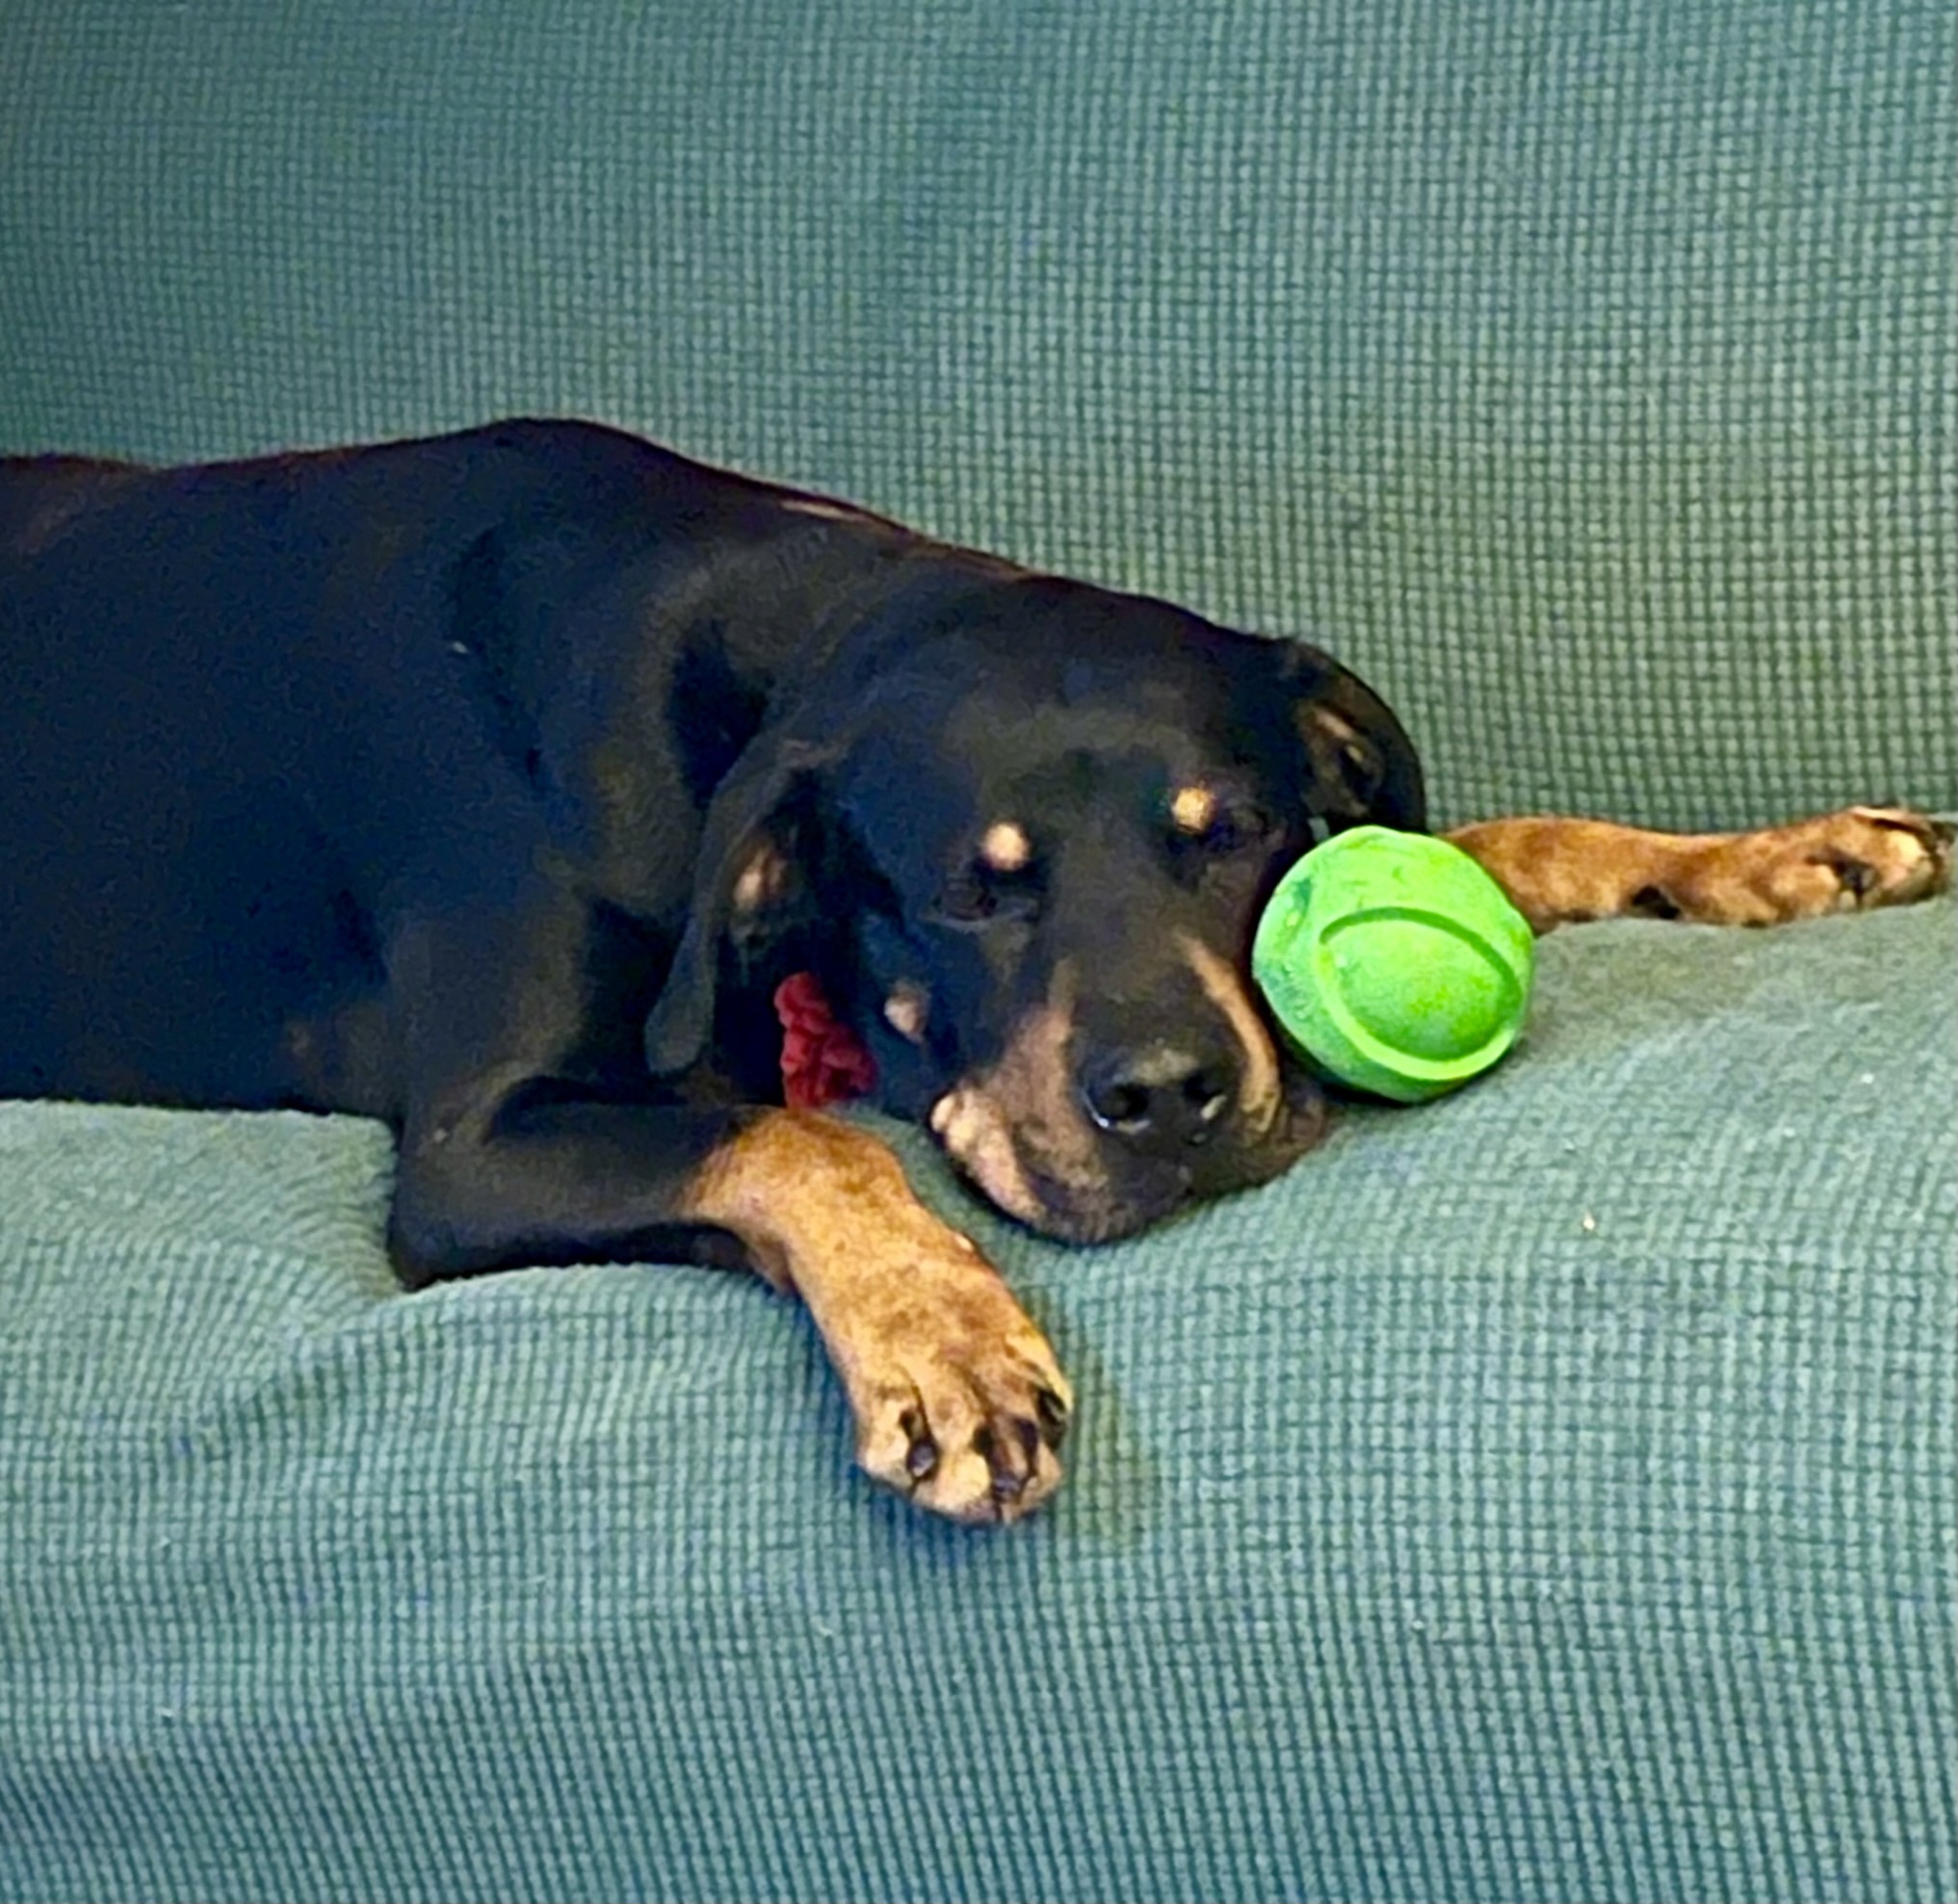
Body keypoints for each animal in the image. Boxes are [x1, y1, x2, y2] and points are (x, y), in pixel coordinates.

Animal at [0, 421, 1942, 1520]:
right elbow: (792, 1133)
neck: (758, 633)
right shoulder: (477, 1146)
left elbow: (1490, 838)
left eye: (1232, 833)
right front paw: (945, 1343)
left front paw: (1762, 857)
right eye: (971, 893)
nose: (1170, 1101)